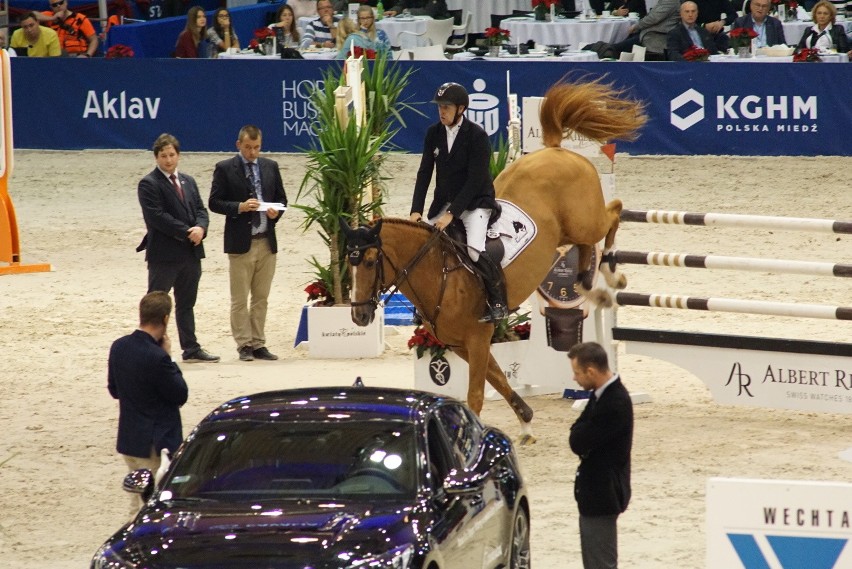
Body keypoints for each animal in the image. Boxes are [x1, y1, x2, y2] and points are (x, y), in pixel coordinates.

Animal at [340, 79, 644, 440]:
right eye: (349, 262)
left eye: (370, 261)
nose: (358, 317)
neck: (436, 271)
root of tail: (556, 150)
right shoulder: (460, 343)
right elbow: (498, 379)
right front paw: (526, 420)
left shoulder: (477, 336)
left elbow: (476, 394)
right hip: (570, 232)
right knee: (587, 246)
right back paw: (588, 283)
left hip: (586, 220)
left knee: (614, 213)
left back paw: (612, 275)